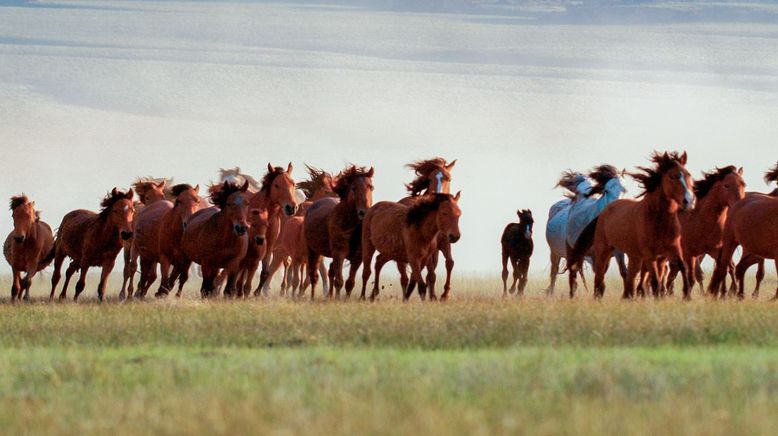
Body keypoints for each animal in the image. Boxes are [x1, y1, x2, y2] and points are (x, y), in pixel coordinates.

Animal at [249, 164, 300, 296]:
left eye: (293, 183)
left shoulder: (270, 244)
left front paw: (257, 292)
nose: (291, 207)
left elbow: (266, 271)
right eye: (276, 185)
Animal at [304, 165, 374, 298]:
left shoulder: (358, 257)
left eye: (371, 187)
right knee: (313, 275)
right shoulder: (339, 253)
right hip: (313, 251)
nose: (364, 212)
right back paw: (313, 297)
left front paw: (344, 299)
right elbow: (339, 281)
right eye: (353, 188)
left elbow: (350, 282)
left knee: (330, 271)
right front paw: (337, 299)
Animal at [568, 152, 696, 298]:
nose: (689, 201)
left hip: (634, 256)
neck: (658, 221)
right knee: (599, 280)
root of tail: (604, 211)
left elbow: (682, 267)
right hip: (603, 251)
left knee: (630, 278)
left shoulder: (672, 250)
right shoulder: (649, 255)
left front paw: (687, 295)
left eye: (688, 175)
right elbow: (655, 281)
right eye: (672, 176)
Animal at [664, 165, 744, 294]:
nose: (740, 204)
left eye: (743, 184)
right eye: (726, 185)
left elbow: (722, 270)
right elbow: (692, 278)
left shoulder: (716, 251)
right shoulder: (689, 254)